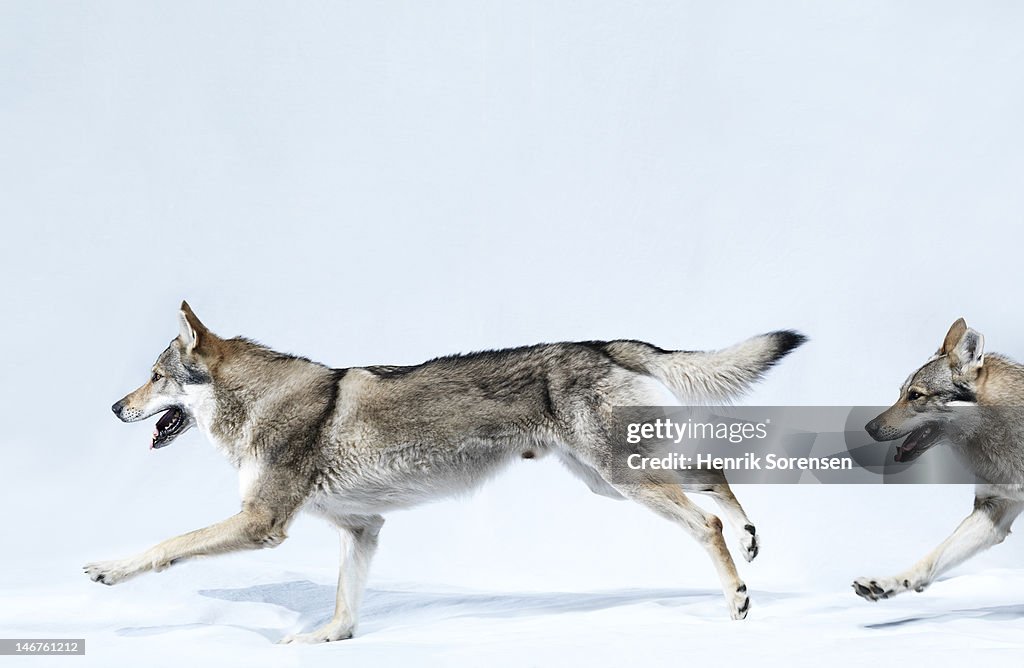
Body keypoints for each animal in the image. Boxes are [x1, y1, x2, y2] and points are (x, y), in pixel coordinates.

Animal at [86, 302, 805, 642]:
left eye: (154, 376)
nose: (114, 406)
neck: (259, 401)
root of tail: (600, 341)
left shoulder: (261, 523)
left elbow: (166, 545)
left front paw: (107, 570)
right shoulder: (362, 528)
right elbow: (344, 605)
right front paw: (324, 641)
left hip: (623, 478)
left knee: (706, 522)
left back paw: (738, 596)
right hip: (612, 479)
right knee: (716, 473)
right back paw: (751, 541)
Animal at [855, 318, 1024, 602]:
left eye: (915, 395)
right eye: (901, 393)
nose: (869, 428)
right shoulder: (993, 507)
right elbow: (932, 557)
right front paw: (890, 582)